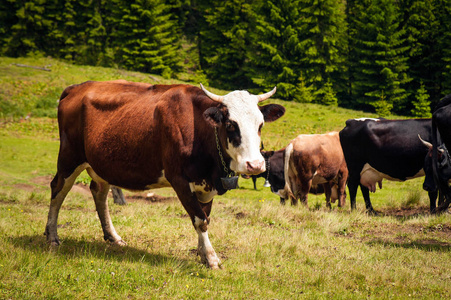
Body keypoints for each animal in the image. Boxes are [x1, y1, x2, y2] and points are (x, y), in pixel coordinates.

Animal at [46, 81, 286, 268]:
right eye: (230, 124)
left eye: (260, 124)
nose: (255, 165)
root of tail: (77, 87)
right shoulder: (179, 179)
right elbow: (200, 220)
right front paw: (211, 258)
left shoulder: (206, 185)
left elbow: (205, 217)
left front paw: (202, 253)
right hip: (69, 157)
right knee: (57, 189)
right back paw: (52, 236)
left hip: (100, 163)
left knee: (99, 192)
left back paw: (112, 237)